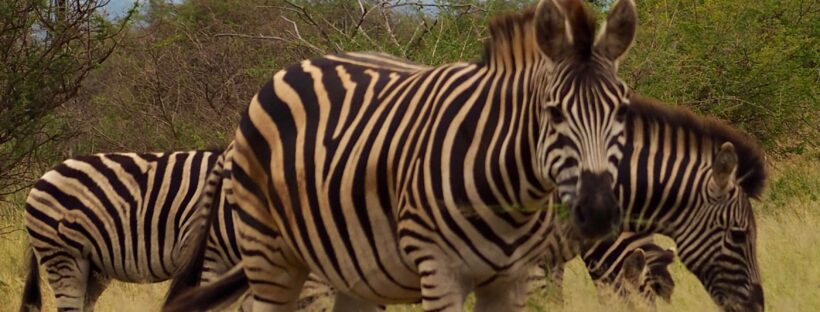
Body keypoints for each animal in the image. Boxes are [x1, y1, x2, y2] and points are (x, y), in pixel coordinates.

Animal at [162, 1, 636, 310]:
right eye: (553, 113)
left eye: (622, 110)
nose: (598, 211)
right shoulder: (441, 273)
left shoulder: (514, 280)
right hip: (268, 256)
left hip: (347, 266)